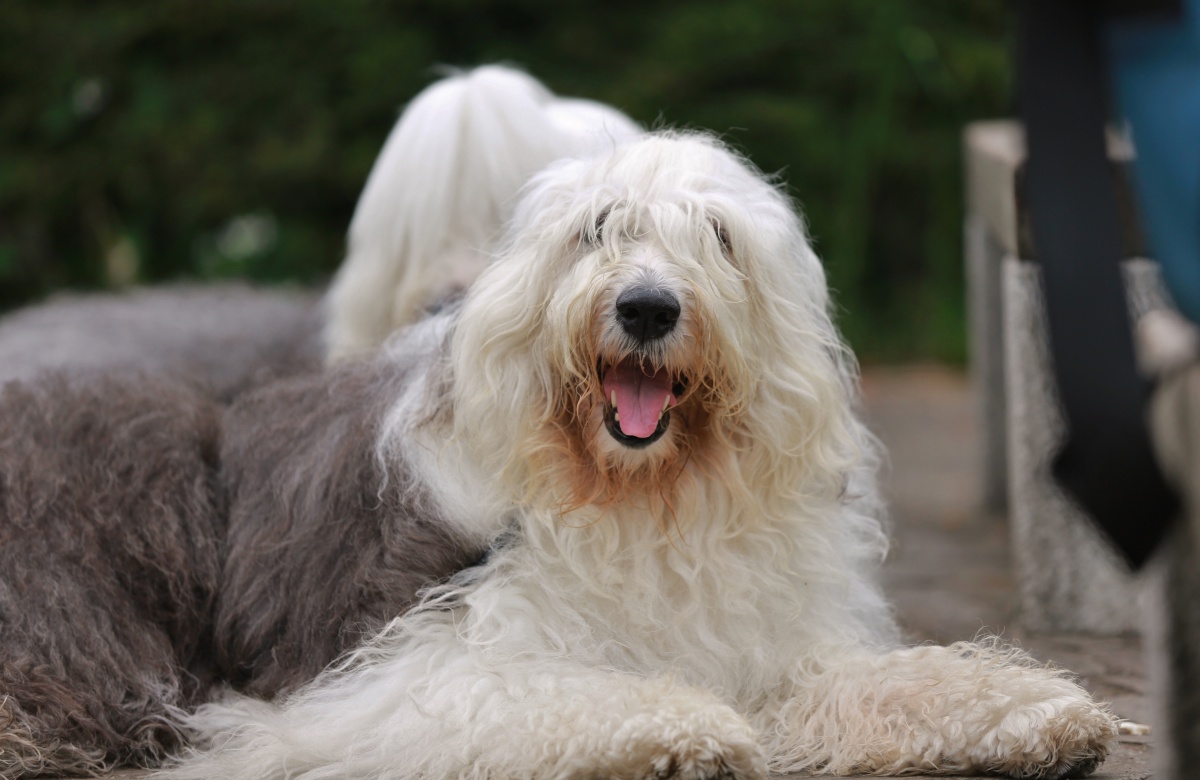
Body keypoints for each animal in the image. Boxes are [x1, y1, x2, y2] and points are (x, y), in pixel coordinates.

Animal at [0, 68, 1115, 779]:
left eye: (717, 238)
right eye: (597, 231)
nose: (649, 307)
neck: (640, 498)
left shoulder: (763, 640)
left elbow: (871, 678)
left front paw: (1031, 709)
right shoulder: (390, 672)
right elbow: (536, 697)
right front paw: (678, 728)